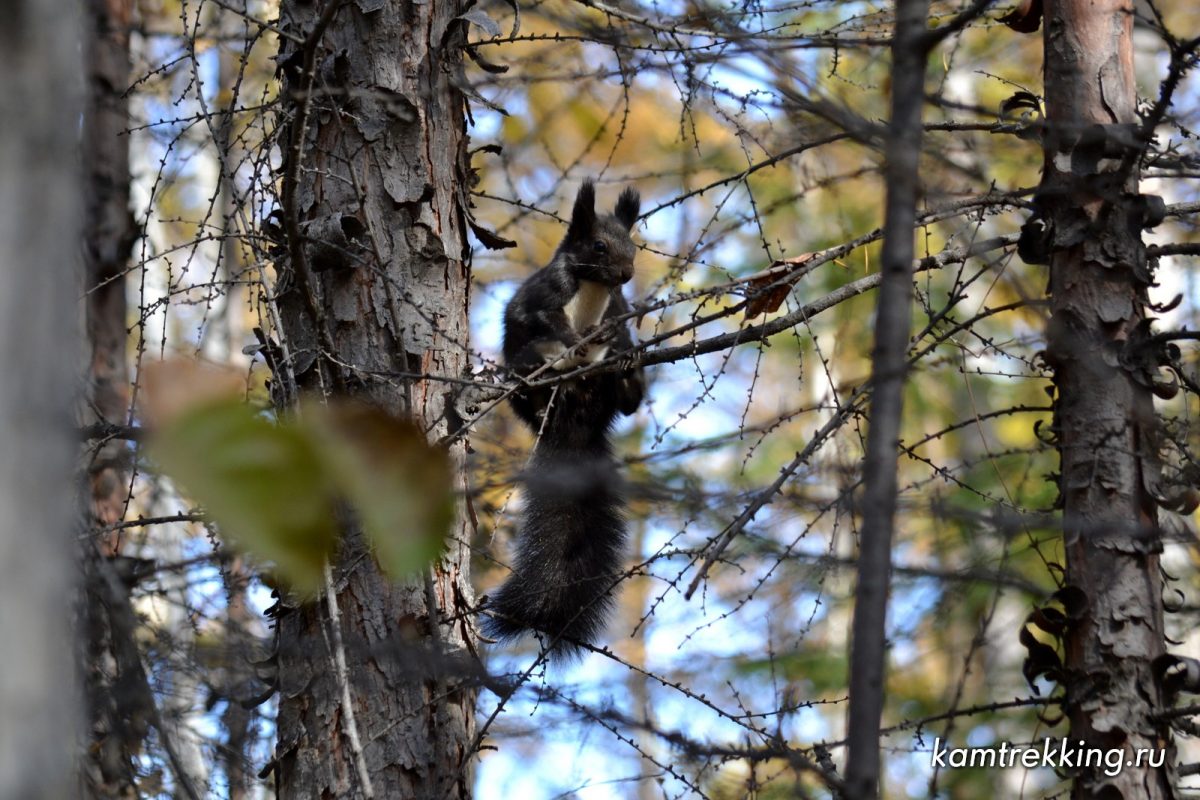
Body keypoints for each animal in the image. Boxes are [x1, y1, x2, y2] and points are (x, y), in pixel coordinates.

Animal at [482, 183, 643, 662]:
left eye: (635, 246)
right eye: (598, 246)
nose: (626, 274)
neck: (593, 289)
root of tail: (574, 426)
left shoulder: (618, 308)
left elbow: (620, 327)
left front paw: (620, 346)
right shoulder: (545, 295)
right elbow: (537, 316)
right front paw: (573, 337)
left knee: (628, 405)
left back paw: (627, 376)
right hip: (526, 371)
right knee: (532, 367)